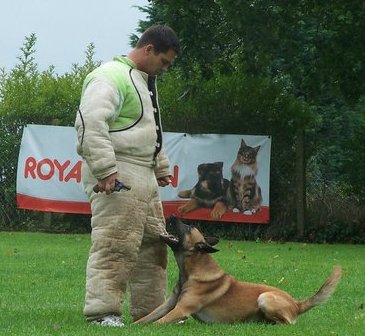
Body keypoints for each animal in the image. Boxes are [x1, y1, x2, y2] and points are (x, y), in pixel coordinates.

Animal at [134, 217, 342, 324]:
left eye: (189, 226)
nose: (172, 216)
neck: (191, 271)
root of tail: (297, 304)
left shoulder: (181, 309)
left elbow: (155, 324)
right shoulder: (169, 306)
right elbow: (146, 319)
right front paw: (130, 326)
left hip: (264, 298)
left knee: (286, 324)